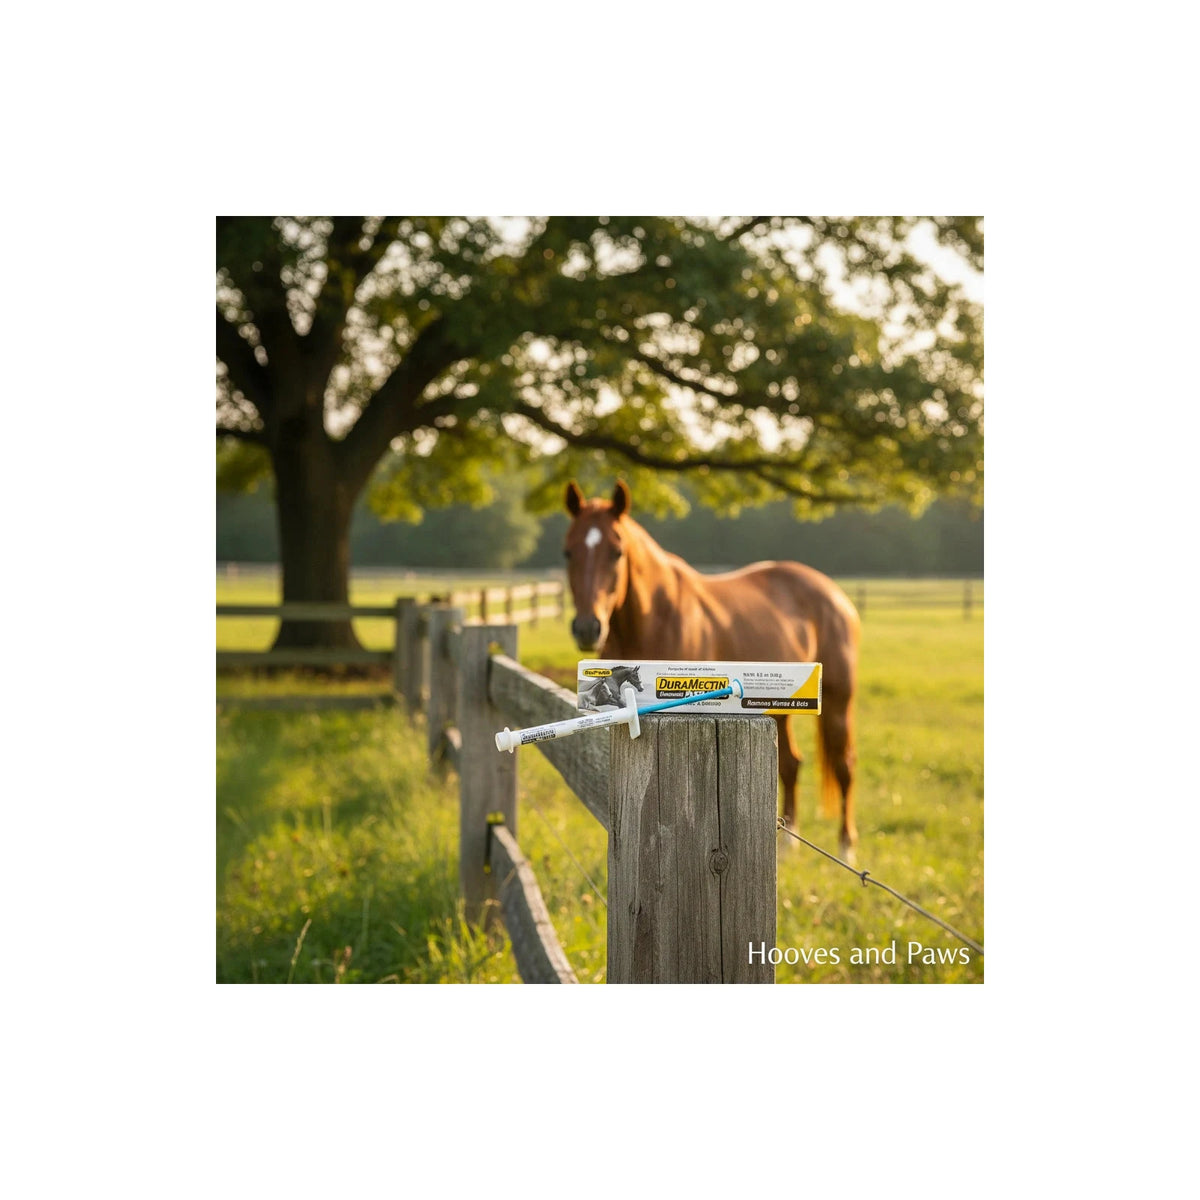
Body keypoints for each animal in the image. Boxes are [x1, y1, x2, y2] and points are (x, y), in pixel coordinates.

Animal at [563, 479, 860, 861]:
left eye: (617, 552)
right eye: (568, 552)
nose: (588, 628)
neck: (655, 617)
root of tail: (834, 594)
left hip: (838, 701)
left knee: (843, 765)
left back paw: (846, 847)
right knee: (792, 764)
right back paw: (787, 844)